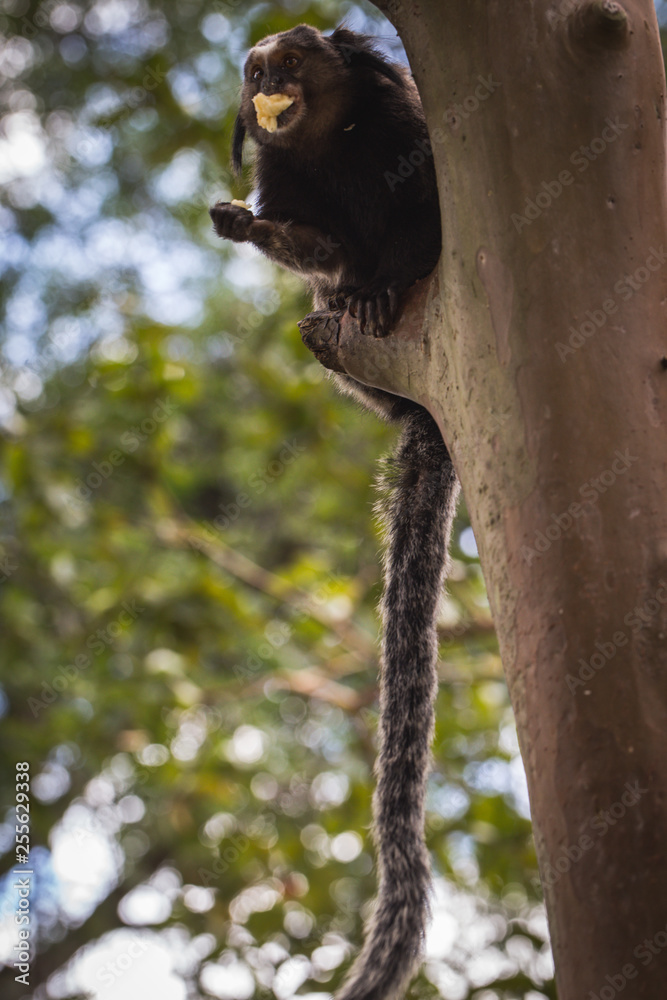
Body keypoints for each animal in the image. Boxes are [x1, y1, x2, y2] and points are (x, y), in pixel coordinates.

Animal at [211, 23, 462, 1000]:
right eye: (256, 75)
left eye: (291, 63)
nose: (268, 84)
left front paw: (382, 283)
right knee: (322, 308)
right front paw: (251, 230)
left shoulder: (405, 133)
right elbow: (310, 245)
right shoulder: (285, 177)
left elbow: (419, 221)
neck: (326, 138)